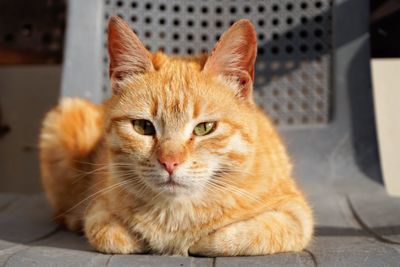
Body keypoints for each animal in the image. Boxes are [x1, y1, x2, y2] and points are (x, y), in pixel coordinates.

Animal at [39, 17, 312, 258]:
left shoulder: (296, 214)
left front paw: (199, 241)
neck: (176, 213)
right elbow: (110, 235)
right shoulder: (98, 209)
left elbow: (241, 236)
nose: (169, 163)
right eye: (143, 127)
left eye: (204, 128)